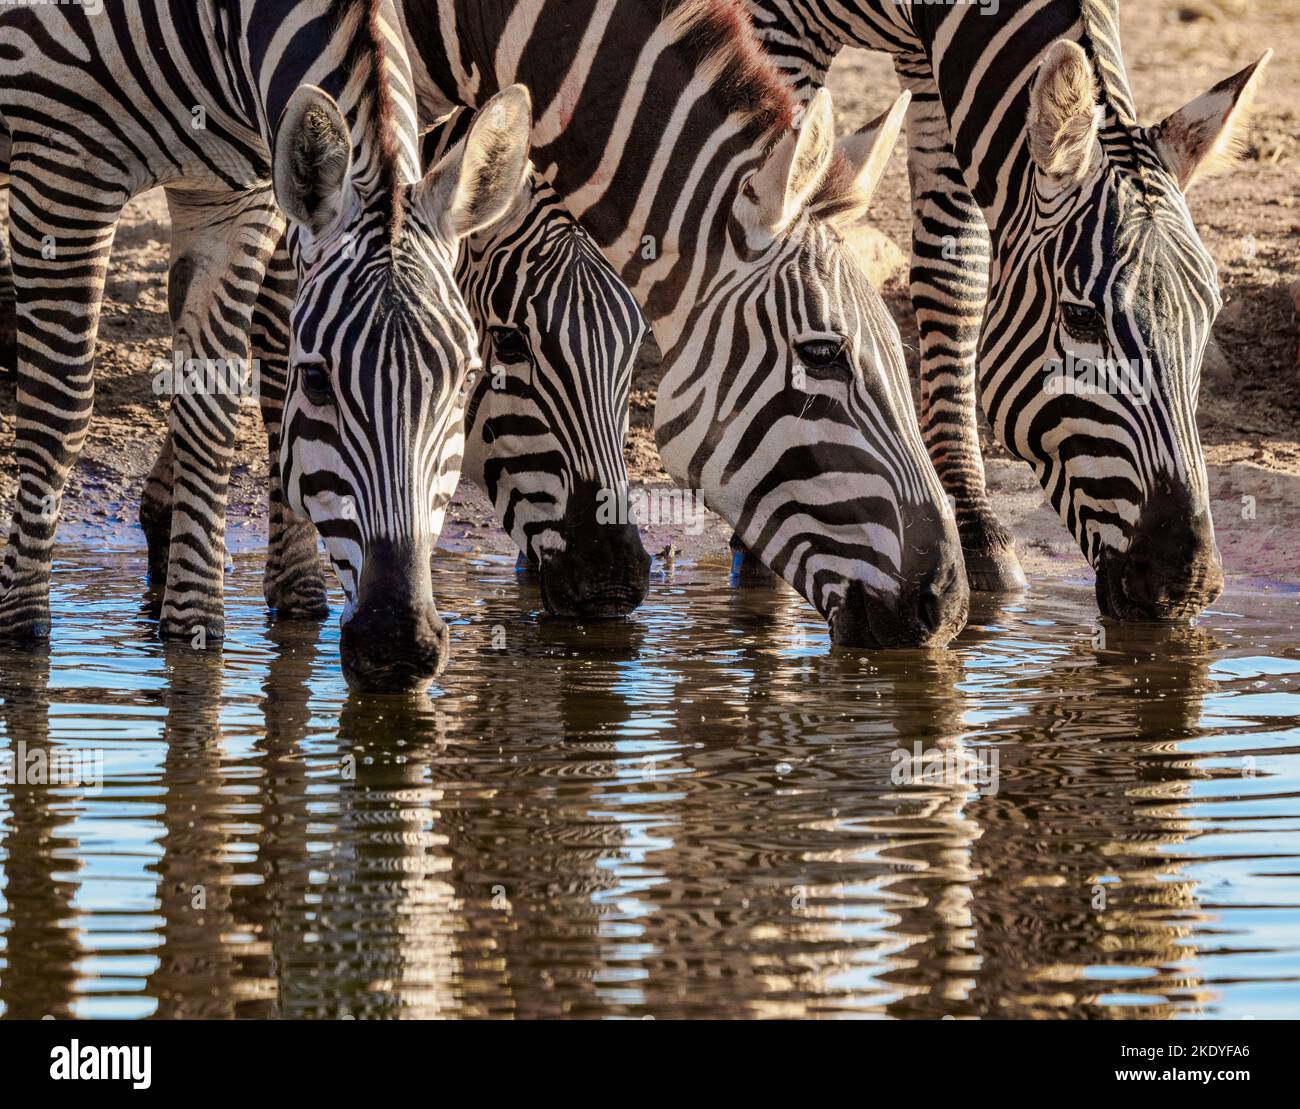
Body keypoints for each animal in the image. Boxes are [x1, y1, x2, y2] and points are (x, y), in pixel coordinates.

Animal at [0, 1, 532, 692]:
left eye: (467, 379)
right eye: (315, 380)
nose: (400, 643)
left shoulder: (234, 197)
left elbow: (211, 404)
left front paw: (194, 626)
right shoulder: (63, 161)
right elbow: (59, 407)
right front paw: (22, 630)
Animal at [745, 0, 1268, 620]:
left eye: (1209, 316)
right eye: (1081, 318)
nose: (1182, 586)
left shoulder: (939, 71)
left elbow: (956, 272)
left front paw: (977, 532)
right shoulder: (780, 26)